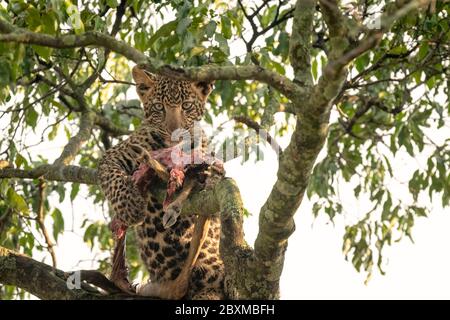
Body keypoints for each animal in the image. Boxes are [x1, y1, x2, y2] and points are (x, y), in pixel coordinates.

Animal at [97, 65, 225, 300]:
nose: (175, 133)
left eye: (186, 106)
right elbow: (114, 179)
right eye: (159, 107)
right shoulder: (114, 155)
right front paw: (131, 208)